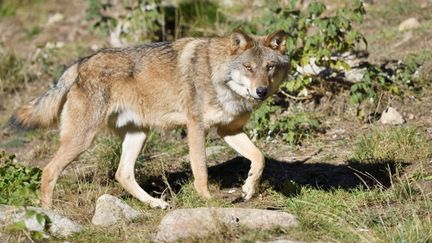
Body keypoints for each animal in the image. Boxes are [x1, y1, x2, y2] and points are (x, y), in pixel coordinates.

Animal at [11, 29, 290, 209]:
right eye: (248, 68)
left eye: (269, 67)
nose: (261, 91)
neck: (218, 76)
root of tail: (80, 63)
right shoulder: (196, 128)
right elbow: (201, 171)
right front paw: (207, 201)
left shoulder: (228, 131)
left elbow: (259, 157)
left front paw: (248, 188)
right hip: (83, 140)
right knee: (48, 171)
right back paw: (48, 215)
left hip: (138, 135)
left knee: (122, 174)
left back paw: (156, 203)